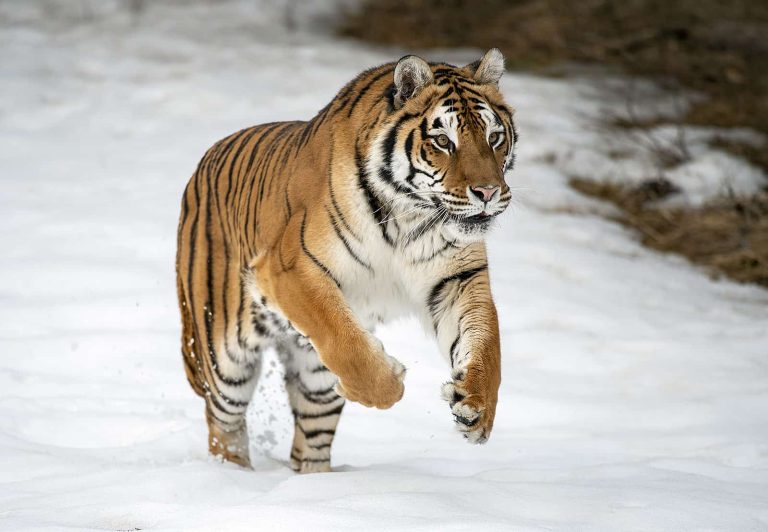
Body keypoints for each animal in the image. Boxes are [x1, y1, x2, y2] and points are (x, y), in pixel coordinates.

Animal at [176, 48, 517, 473]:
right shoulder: (291, 267)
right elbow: (344, 340)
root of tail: (203, 162)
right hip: (223, 357)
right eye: (443, 141)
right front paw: (391, 384)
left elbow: (486, 343)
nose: (488, 193)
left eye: (494, 137)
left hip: (314, 378)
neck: (410, 216)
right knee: (223, 423)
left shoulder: (457, 279)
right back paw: (232, 474)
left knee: (310, 439)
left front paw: (476, 409)